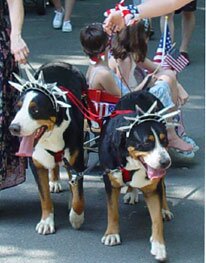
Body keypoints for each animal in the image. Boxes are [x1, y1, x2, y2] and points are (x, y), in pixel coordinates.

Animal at [8, 62, 87, 235]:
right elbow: (44, 197)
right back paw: (55, 181)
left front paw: (76, 218)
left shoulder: (77, 160)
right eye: (18, 107)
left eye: (35, 109)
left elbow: (79, 196)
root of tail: (59, 63)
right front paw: (46, 222)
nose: (14, 128)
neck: (51, 136)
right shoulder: (36, 164)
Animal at [98, 90, 177, 262]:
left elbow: (156, 220)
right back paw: (131, 192)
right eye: (146, 142)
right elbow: (112, 211)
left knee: (163, 186)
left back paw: (165, 209)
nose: (166, 162)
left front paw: (159, 246)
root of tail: (141, 91)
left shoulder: (153, 188)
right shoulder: (110, 181)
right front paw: (112, 233)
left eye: (164, 140)